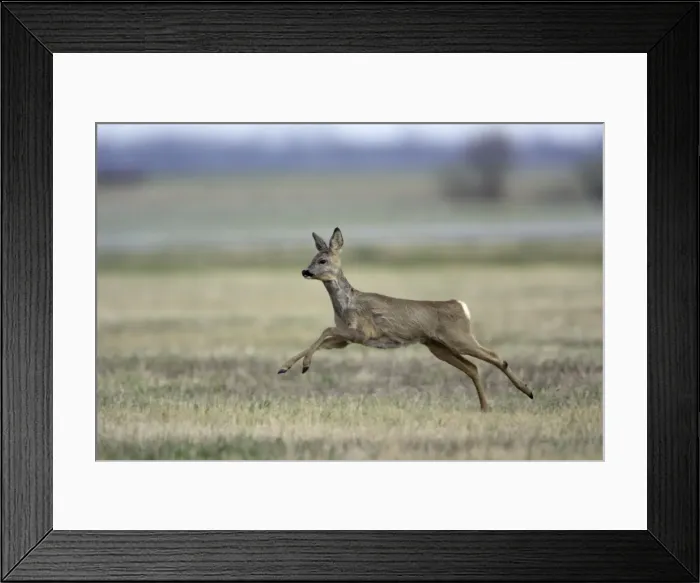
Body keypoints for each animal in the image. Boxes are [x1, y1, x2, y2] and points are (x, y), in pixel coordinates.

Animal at [277, 227, 534, 412]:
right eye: (312, 258)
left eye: (322, 261)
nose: (305, 271)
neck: (347, 304)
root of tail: (461, 306)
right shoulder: (345, 340)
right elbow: (322, 338)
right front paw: (286, 367)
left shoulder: (361, 332)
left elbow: (326, 330)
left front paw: (304, 365)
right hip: (438, 346)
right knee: (472, 367)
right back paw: (485, 407)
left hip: (458, 337)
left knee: (496, 357)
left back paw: (527, 391)